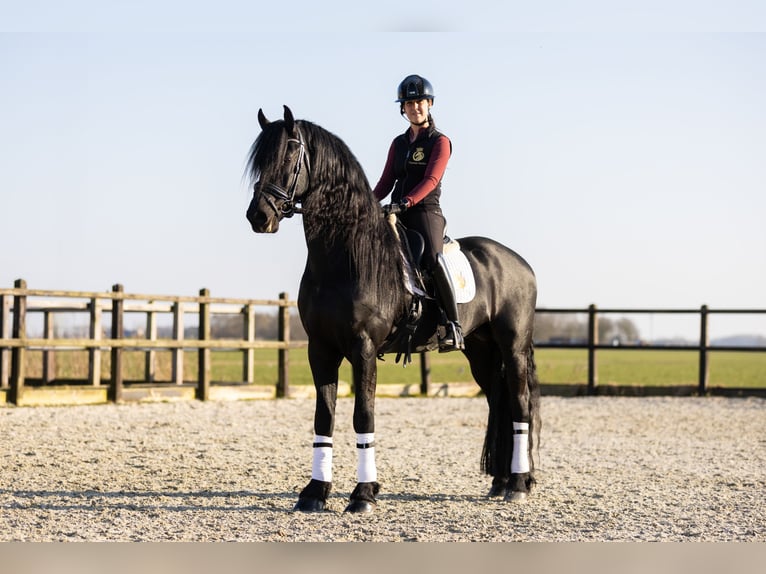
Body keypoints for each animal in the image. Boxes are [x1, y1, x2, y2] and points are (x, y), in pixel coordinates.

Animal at [246, 106, 540, 516]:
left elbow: (363, 415)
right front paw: (315, 491)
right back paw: (501, 482)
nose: (258, 216)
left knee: (520, 404)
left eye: (289, 156)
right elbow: (324, 417)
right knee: (498, 402)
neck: (343, 257)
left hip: (512, 348)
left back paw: (518, 484)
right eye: (260, 162)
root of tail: (519, 263)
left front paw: (363, 494)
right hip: (482, 353)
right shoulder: (321, 349)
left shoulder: (364, 348)